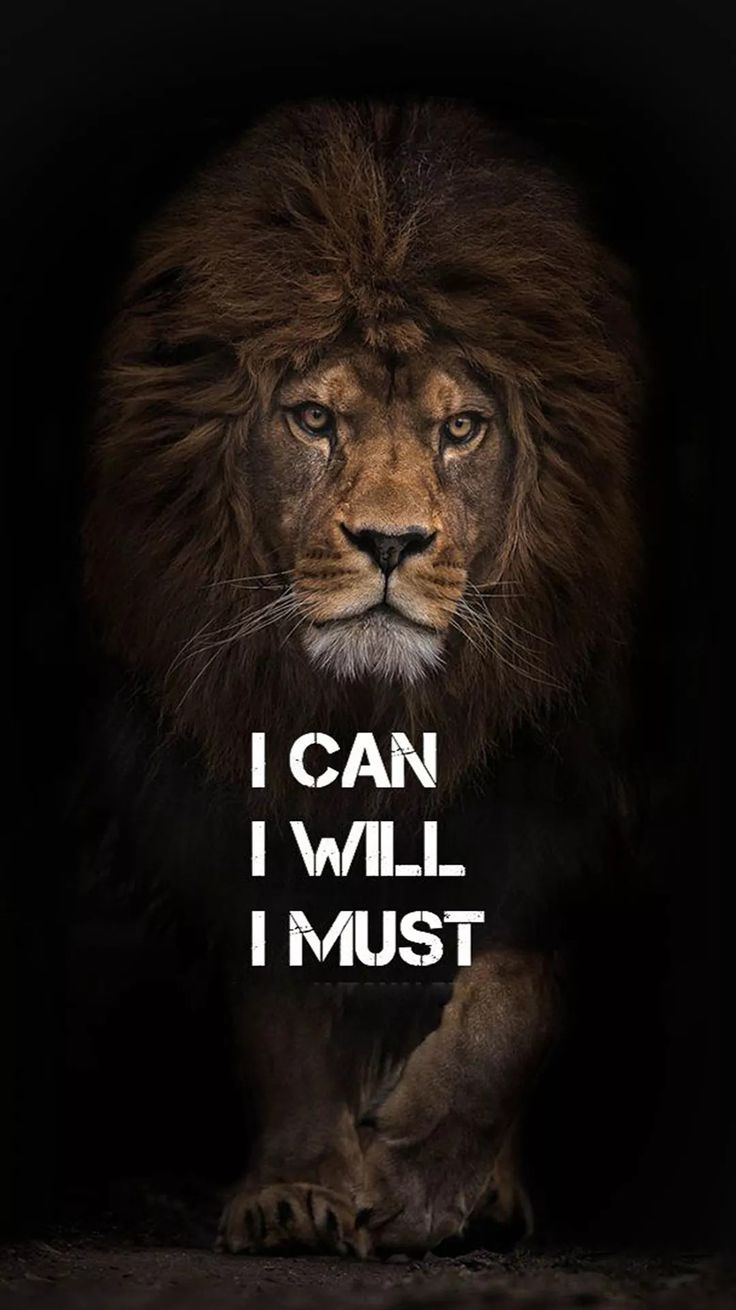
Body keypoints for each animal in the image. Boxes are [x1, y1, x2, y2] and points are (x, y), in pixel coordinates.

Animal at [84, 99, 641, 1256]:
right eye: (313, 419)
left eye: (461, 427)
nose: (390, 541)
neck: (375, 714)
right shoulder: (236, 793)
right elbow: (283, 1009)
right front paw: (300, 1188)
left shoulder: (566, 795)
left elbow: (516, 993)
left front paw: (428, 1177)